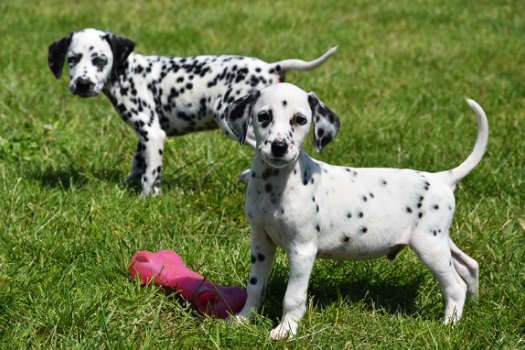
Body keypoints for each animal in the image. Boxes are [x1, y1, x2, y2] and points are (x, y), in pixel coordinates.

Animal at [49, 28, 336, 196]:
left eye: (100, 60)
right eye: (72, 59)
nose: (82, 84)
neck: (126, 72)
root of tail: (270, 67)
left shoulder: (153, 134)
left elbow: (151, 173)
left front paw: (146, 198)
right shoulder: (145, 135)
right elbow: (139, 162)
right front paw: (130, 184)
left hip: (233, 122)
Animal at [225, 82, 488, 340]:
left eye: (300, 120)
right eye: (263, 116)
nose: (279, 147)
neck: (275, 185)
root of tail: (442, 178)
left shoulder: (302, 250)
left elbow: (293, 296)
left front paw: (286, 330)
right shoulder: (261, 242)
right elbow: (255, 285)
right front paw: (243, 319)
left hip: (430, 246)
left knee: (455, 286)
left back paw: (449, 325)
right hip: (439, 240)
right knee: (469, 265)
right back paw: (474, 304)